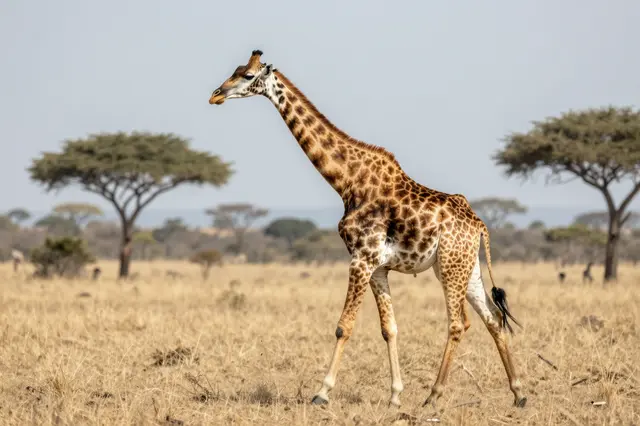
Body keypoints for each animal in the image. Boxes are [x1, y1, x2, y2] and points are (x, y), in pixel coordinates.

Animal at [208, 49, 527, 410]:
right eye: (235, 70)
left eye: (248, 76)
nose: (215, 95)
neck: (347, 181)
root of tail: (480, 225)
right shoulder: (378, 267)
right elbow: (390, 328)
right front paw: (395, 396)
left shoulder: (361, 259)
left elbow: (343, 326)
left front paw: (322, 393)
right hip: (466, 268)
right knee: (493, 319)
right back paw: (518, 393)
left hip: (450, 267)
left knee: (459, 324)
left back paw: (433, 396)